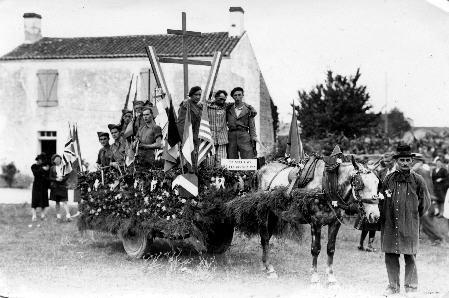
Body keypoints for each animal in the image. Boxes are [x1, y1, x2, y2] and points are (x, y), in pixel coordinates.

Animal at [254, 156, 380, 284]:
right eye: (360, 183)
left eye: (377, 182)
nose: (374, 215)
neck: (328, 186)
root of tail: (262, 169)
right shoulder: (315, 223)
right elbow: (315, 249)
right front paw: (315, 277)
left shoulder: (335, 223)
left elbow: (330, 249)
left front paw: (331, 278)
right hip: (264, 214)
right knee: (265, 238)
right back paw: (269, 269)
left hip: (274, 215)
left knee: (266, 239)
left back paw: (266, 265)